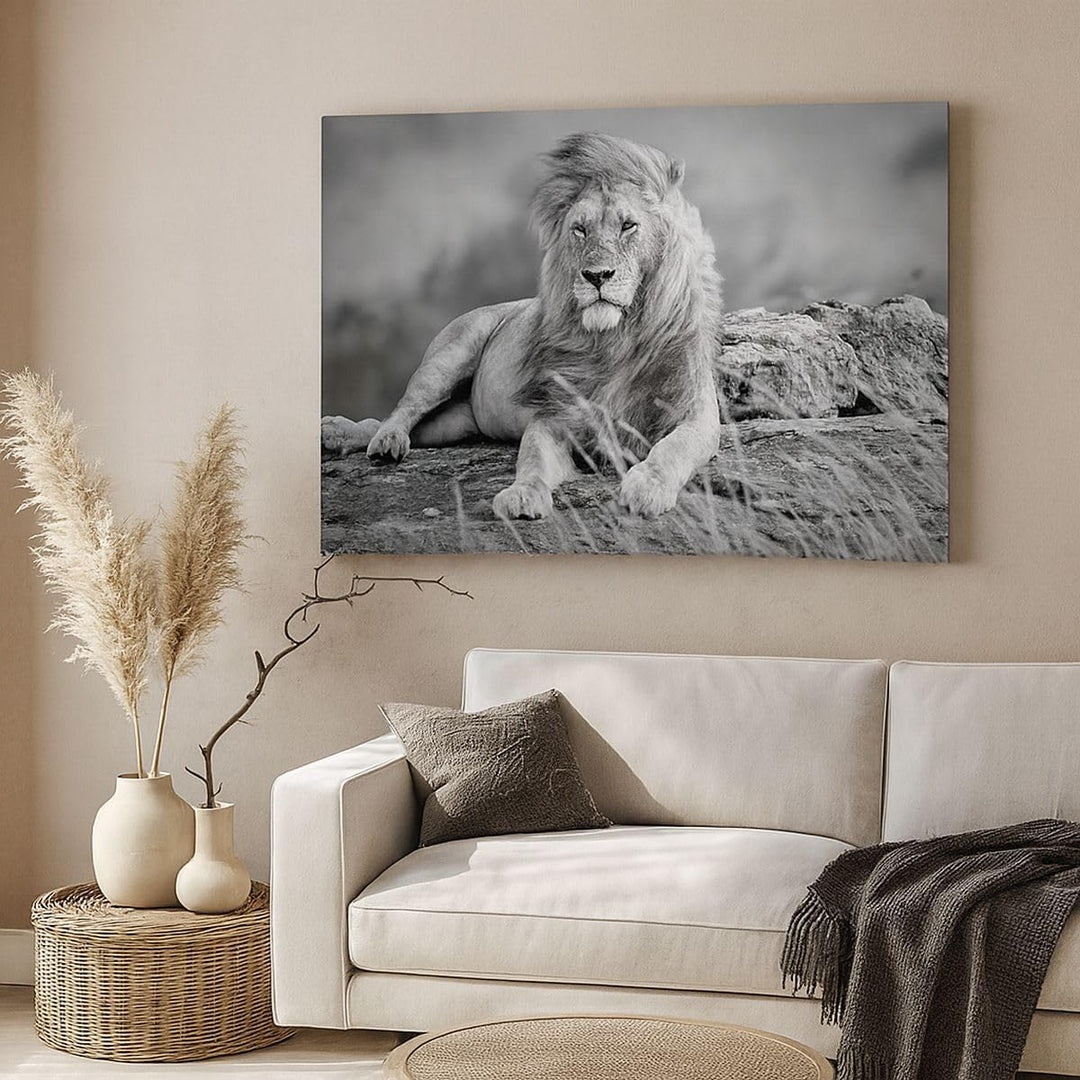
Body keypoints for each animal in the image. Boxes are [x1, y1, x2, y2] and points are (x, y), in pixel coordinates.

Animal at [322, 131, 724, 519]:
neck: (615, 340)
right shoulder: (554, 416)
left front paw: (647, 487)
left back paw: (342, 435)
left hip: (456, 423)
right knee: (401, 410)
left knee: (410, 427)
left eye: (629, 226)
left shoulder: (695, 413)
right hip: (448, 357)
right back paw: (377, 440)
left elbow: (673, 448)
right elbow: (532, 459)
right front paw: (522, 496)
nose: (596, 276)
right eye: (580, 230)